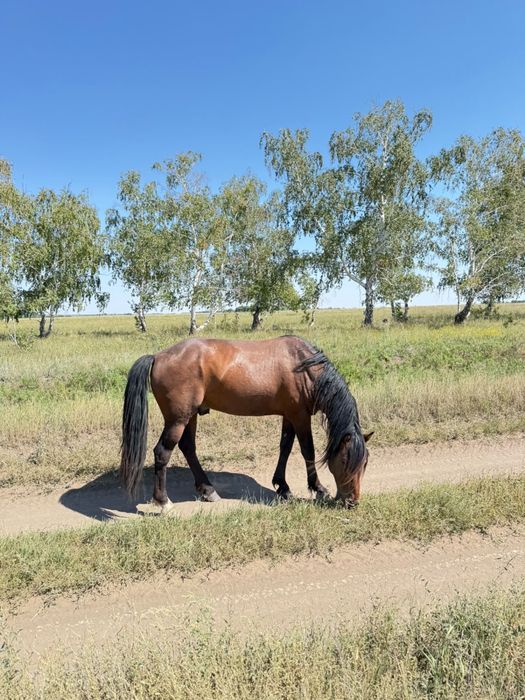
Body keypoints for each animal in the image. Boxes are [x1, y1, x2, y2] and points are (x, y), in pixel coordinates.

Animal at [120, 335, 372, 512]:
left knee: (188, 448)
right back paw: (163, 501)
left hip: (189, 416)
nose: (352, 501)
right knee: (162, 452)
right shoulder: (300, 416)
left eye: (365, 464)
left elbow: (285, 447)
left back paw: (207, 490)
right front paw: (318, 488)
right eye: (345, 460)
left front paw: (282, 486)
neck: (305, 367)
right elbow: (307, 450)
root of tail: (158, 356)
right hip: (178, 419)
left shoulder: (289, 415)